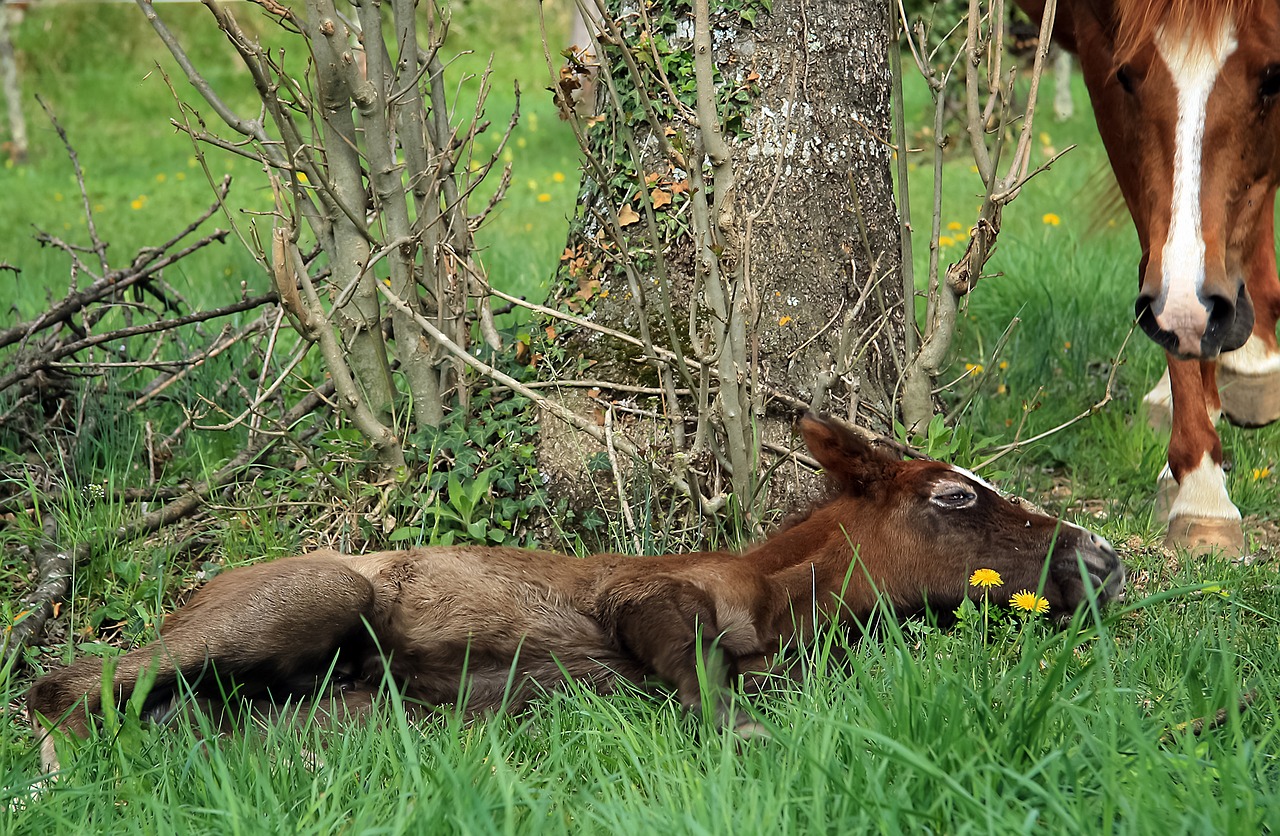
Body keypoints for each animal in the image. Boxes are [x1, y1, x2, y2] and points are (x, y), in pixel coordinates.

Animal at [24, 412, 1126, 768]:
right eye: (954, 493)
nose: (1107, 557)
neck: (796, 613)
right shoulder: (647, 598)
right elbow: (697, 674)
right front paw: (738, 733)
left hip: (292, 700)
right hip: (310, 598)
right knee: (66, 683)